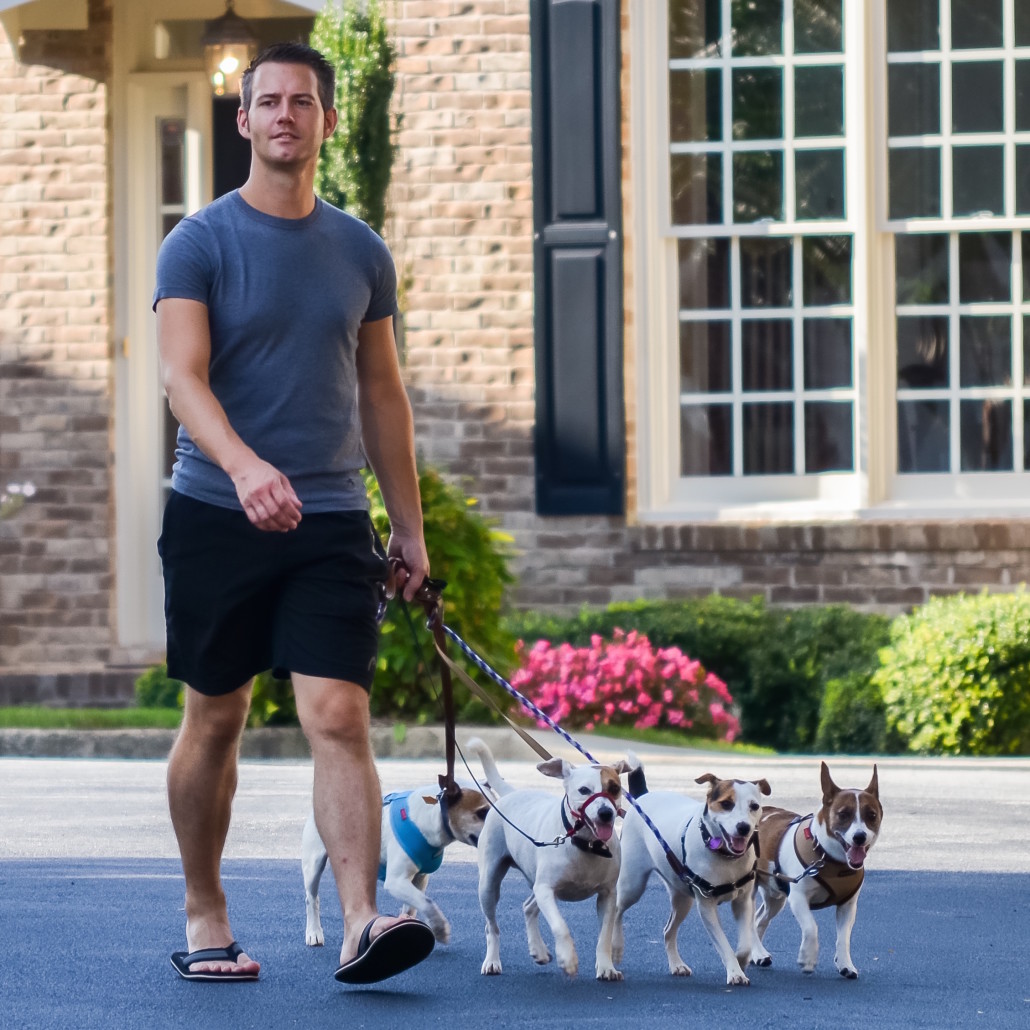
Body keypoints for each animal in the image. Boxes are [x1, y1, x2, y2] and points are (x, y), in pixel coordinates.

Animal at [473, 745, 634, 976]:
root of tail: (511, 793)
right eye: (584, 790)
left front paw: (606, 967)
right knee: (492, 927)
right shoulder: (546, 889)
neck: (585, 844)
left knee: (528, 907)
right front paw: (568, 958)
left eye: (614, 788)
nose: (606, 812)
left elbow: (605, 934)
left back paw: (538, 950)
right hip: (489, 885)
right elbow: (560, 926)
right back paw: (492, 961)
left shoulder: (608, 895)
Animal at [609, 774, 774, 980]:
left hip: (682, 899)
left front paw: (741, 962)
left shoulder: (743, 902)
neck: (725, 856)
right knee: (617, 910)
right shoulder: (706, 906)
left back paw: (677, 964)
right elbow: (723, 943)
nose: (744, 827)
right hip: (632, 885)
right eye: (726, 804)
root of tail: (643, 796)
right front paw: (735, 971)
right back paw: (616, 947)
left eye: (754, 806)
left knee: (668, 931)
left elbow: (744, 945)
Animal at [749, 762, 885, 976]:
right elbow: (811, 927)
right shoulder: (798, 898)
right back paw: (758, 951)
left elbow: (844, 937)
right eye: (843, 814)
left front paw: (845, 963)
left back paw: (757, 953)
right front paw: (808, 958)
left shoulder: (848, 905)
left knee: (759, 919)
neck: (829, 857)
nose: (859, 836)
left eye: (871, 815)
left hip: (775, 895)